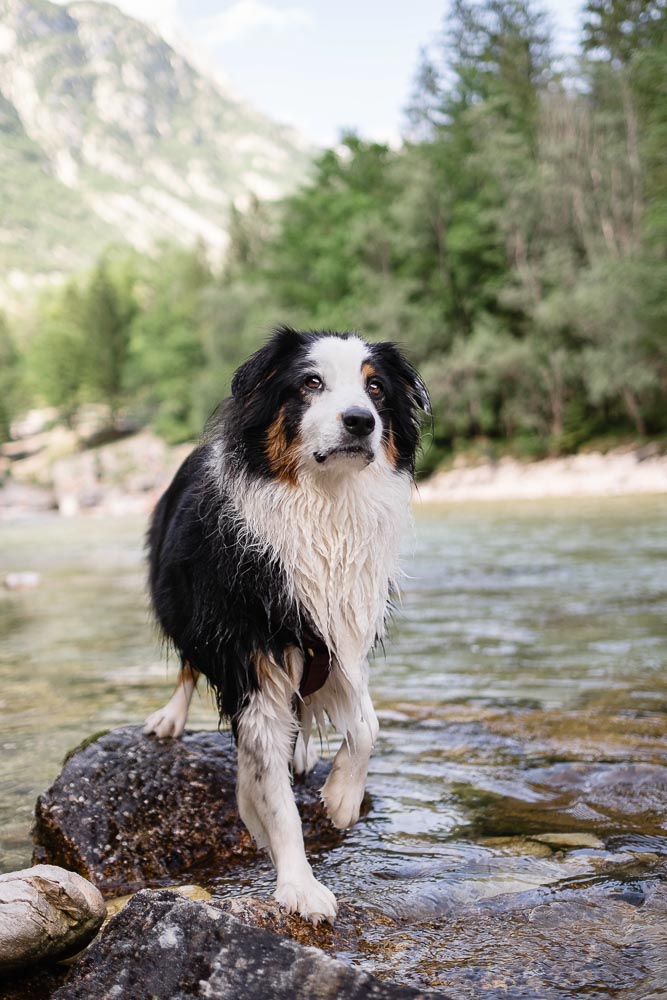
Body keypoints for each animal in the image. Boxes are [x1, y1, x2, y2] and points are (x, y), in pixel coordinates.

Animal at [144, 326, 430, 920]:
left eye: (375, 388)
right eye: (311, 383)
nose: (360, 420)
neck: (325, 505)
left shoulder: (342, 632)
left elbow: (367, 723)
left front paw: (342, 798)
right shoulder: (252, 665)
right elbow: (274, 795)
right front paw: (300, 884)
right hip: (175, 601)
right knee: (186, 664)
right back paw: (171, 717)